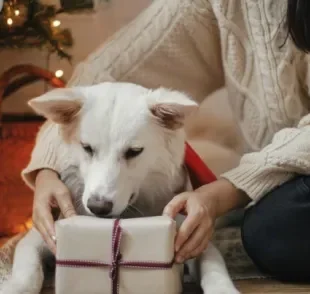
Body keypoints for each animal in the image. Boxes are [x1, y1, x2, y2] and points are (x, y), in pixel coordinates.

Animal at [1, 82, 240, 294]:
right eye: (87, 148)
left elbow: (214, 270)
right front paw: (14, 287)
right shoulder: (41, 234)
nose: (98, 207)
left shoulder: (195, 236)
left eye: (134, 151)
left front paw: (224, 289)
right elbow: (28, 270)